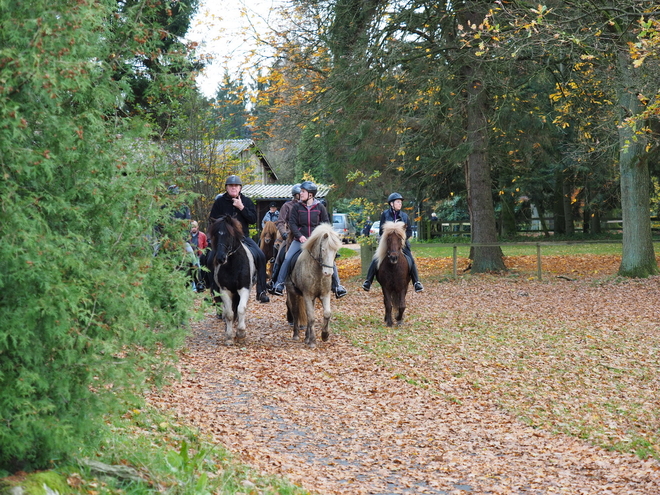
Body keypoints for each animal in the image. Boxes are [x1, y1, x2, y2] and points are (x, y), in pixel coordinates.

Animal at [208, 215, 256, 346]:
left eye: (228, 235)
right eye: (215, 235)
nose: (220, 258)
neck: (233, 265)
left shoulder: (244, 288)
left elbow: (241, 309)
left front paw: (241, 333)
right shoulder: (225, 291)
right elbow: (229, 314)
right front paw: (229, 337)